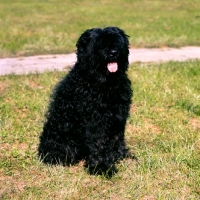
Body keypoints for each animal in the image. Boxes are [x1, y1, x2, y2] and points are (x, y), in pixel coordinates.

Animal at [38, 27, 134, 177]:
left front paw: (120, 156)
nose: (113, 52)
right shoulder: (95, 120)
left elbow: (117, 138)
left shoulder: (118, 115)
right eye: (99, 43)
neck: (102, 82)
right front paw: (101, 167)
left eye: (117, 41)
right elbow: (98, 144)